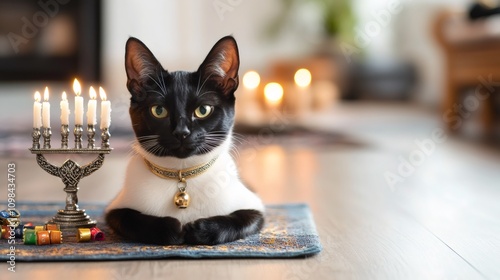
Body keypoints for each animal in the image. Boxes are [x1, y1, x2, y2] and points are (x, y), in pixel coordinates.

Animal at [105, 35, 266, 245]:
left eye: (203, 110)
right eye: (159, 110)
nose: (181, 132)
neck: (182, 174)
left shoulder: (255, 207)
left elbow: (239, 219)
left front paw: (198, 230)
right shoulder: (114, 209)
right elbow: (132, 219)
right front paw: (174, 229)